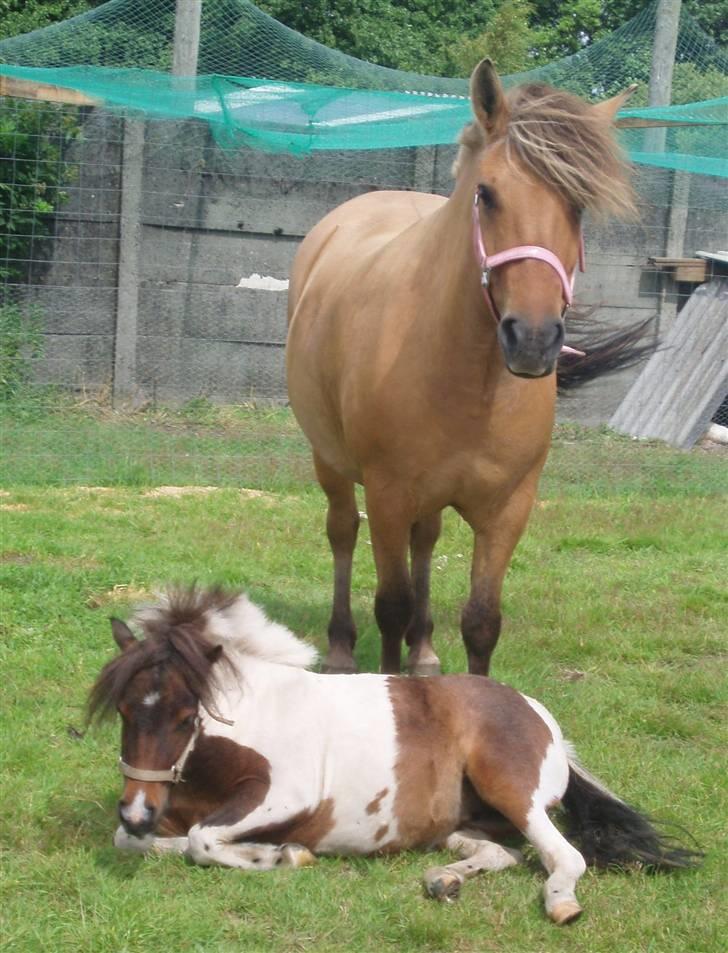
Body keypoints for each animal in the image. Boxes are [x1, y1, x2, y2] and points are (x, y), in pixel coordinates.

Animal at [89, 587, 698, 926]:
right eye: (122, 710)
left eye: (185, 717)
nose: (137, 810)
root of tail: (539, 716)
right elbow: (131, 843)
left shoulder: (285, 794)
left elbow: (202, 840)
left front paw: (284, 855)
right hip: (465, 820)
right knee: (501, 853)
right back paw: (444, 881)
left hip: (511, 790)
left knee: (564, 858)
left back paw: (560, 905)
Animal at [286, 61, 646, 676]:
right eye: (487, 193)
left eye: (578, 205)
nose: (533, 339)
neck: (468, 379)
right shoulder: (387, 494)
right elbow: (391, 606)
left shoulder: (508, 509)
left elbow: (481, 622)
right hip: (329, 461)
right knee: (342, 531)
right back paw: (339, 647)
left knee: (425, 540)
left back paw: (426, 650)